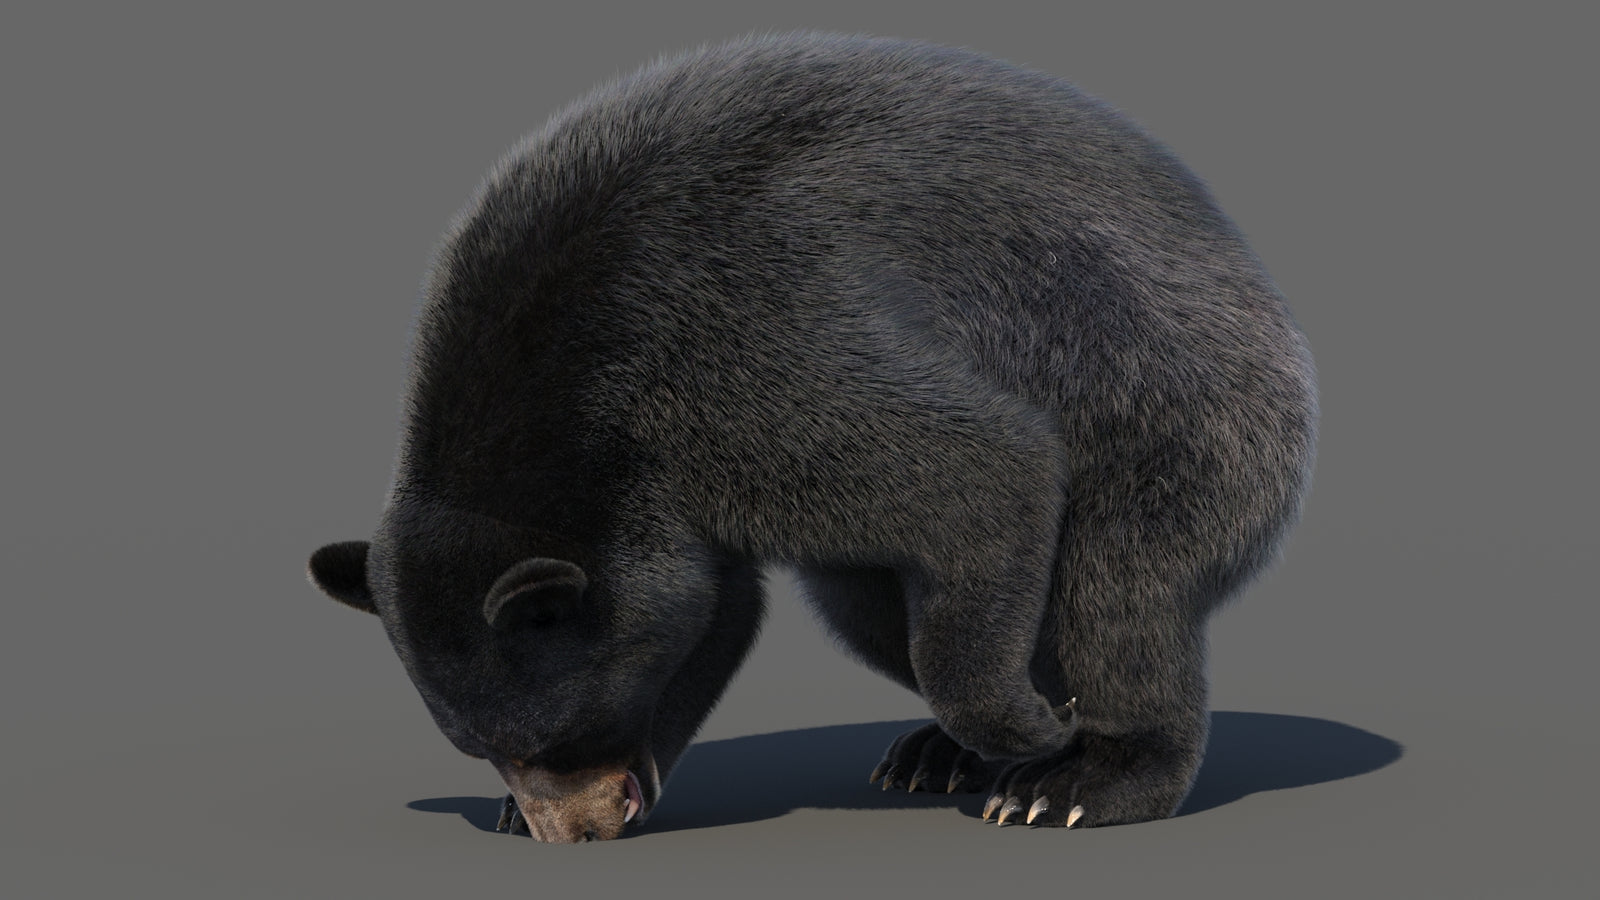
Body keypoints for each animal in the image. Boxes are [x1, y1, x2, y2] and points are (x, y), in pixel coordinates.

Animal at [308, 31, 1317, 843]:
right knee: (870, 609)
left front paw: (1040, 727)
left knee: (1121, 591)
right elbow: (714, 609)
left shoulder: (747, 356)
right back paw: (937, 755)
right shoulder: (676, 476)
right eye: (481, 746)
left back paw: (1077, 780)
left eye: (554, 733)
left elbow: (985, 469)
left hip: (1176, 407)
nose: (577, 831)